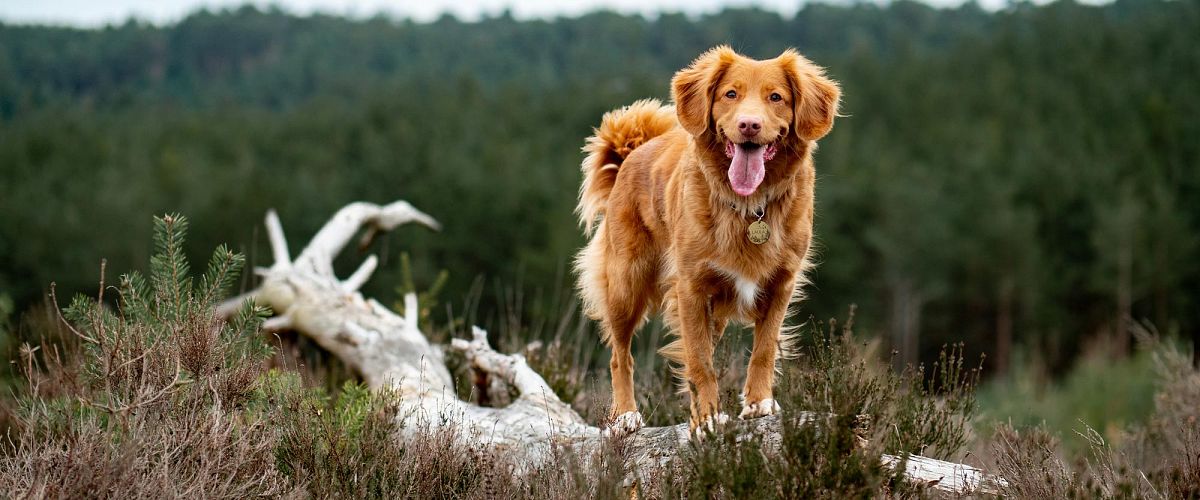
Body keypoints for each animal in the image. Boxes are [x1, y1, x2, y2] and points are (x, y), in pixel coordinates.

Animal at [573, 45, 840, 431]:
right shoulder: (692, 288)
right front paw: (707, 419)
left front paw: (759, 402)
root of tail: (633, 152)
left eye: (776, 97)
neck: (749, 206)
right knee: (619, 355)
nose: (749, 125)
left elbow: (764, 348)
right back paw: (625, 414)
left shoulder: (781, 283)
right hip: (626, 283)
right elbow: (700, 360)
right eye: (730, 94)